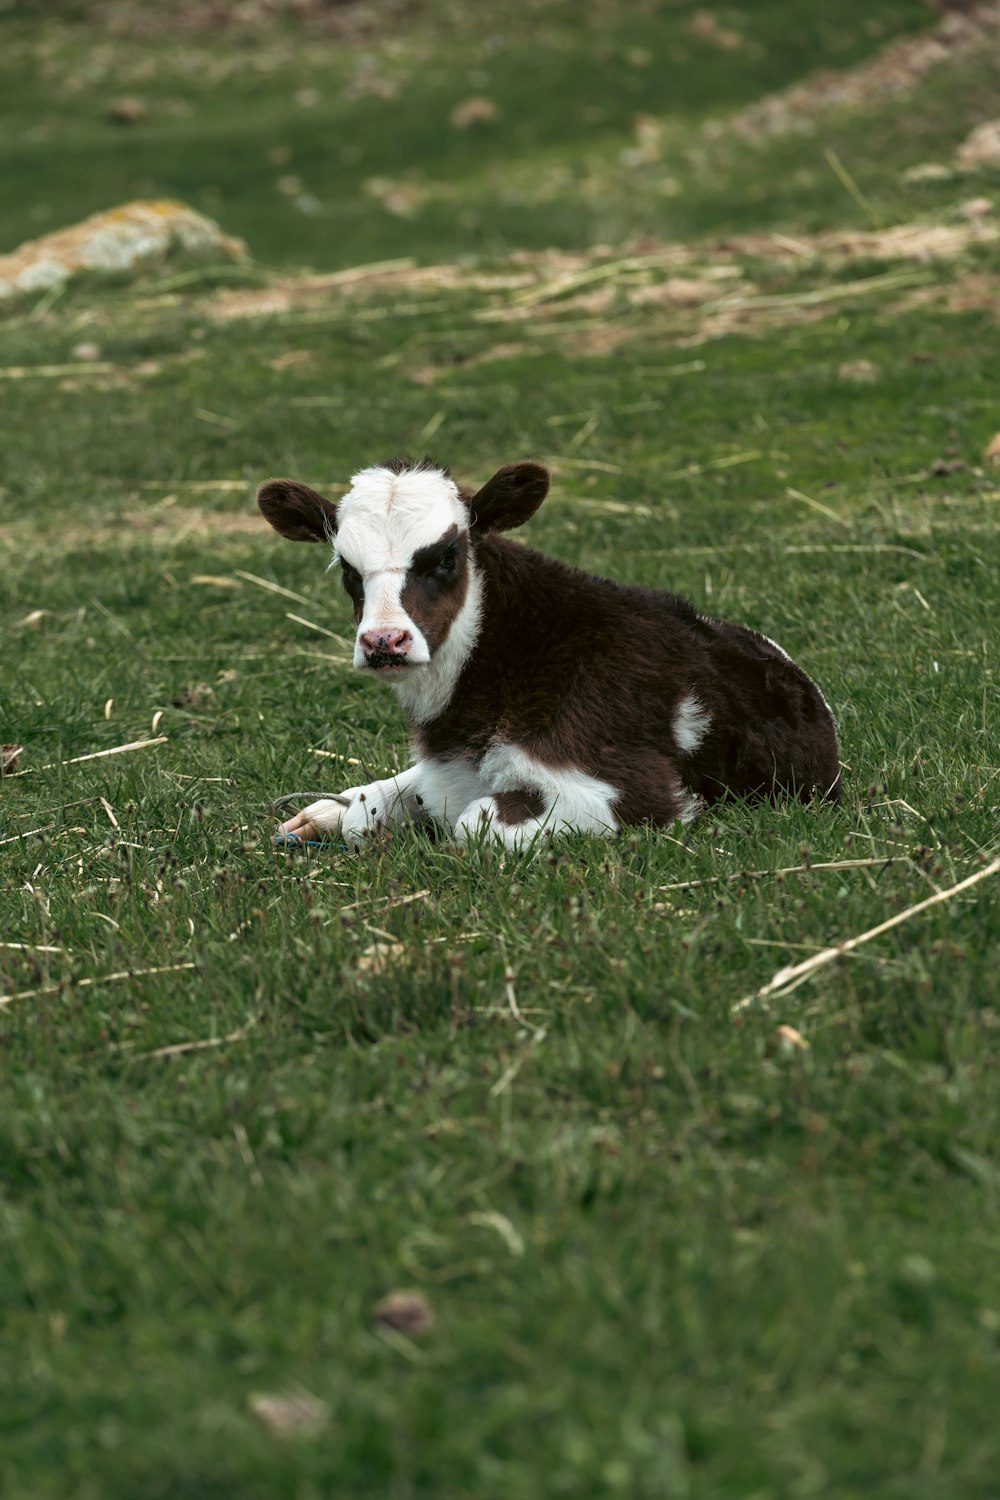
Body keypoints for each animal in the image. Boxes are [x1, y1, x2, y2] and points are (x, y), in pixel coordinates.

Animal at [256, 456, 839, 852]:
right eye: (348, 569)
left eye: (446, 557)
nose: (383, 641)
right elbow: (389, 801)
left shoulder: (628, 786)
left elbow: (472, 825)